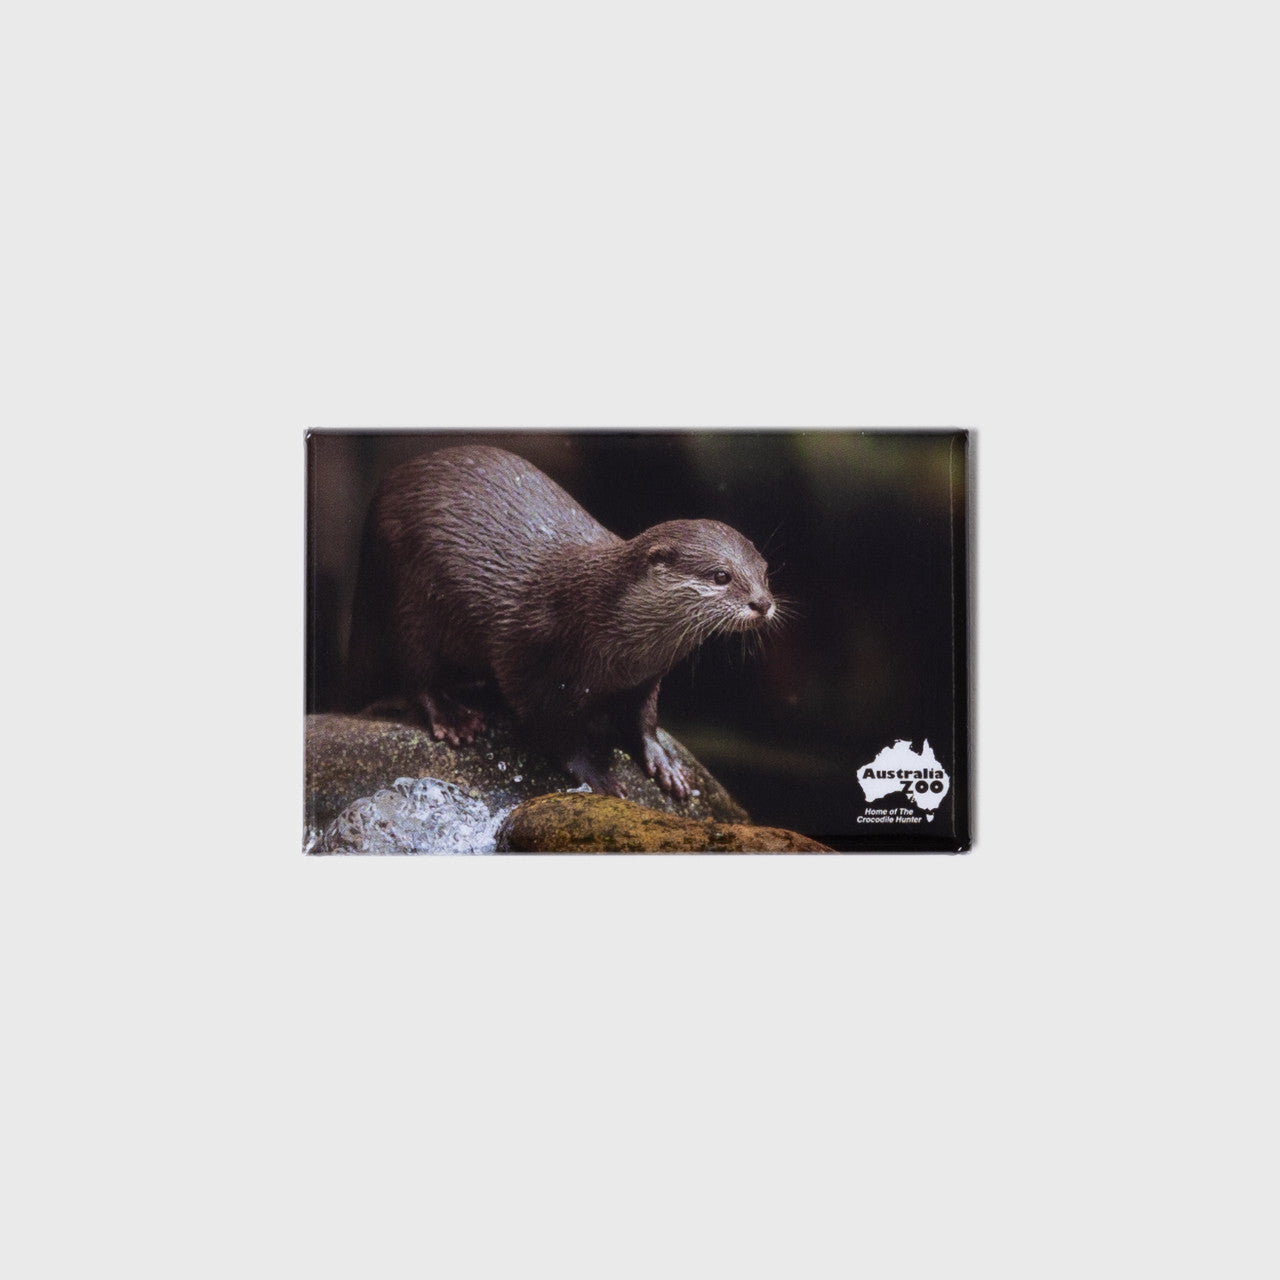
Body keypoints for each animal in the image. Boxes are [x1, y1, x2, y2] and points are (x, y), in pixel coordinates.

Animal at [346, 445, 776, 798]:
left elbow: (644, 718)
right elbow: (552, 729)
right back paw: (453, 718)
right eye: (721, 576)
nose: (763, 603)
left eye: (765, 571)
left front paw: (664, 763)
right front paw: (596, 775)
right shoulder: (529, 660)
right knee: (414, 671)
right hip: (407, 594)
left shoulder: (648, 677)